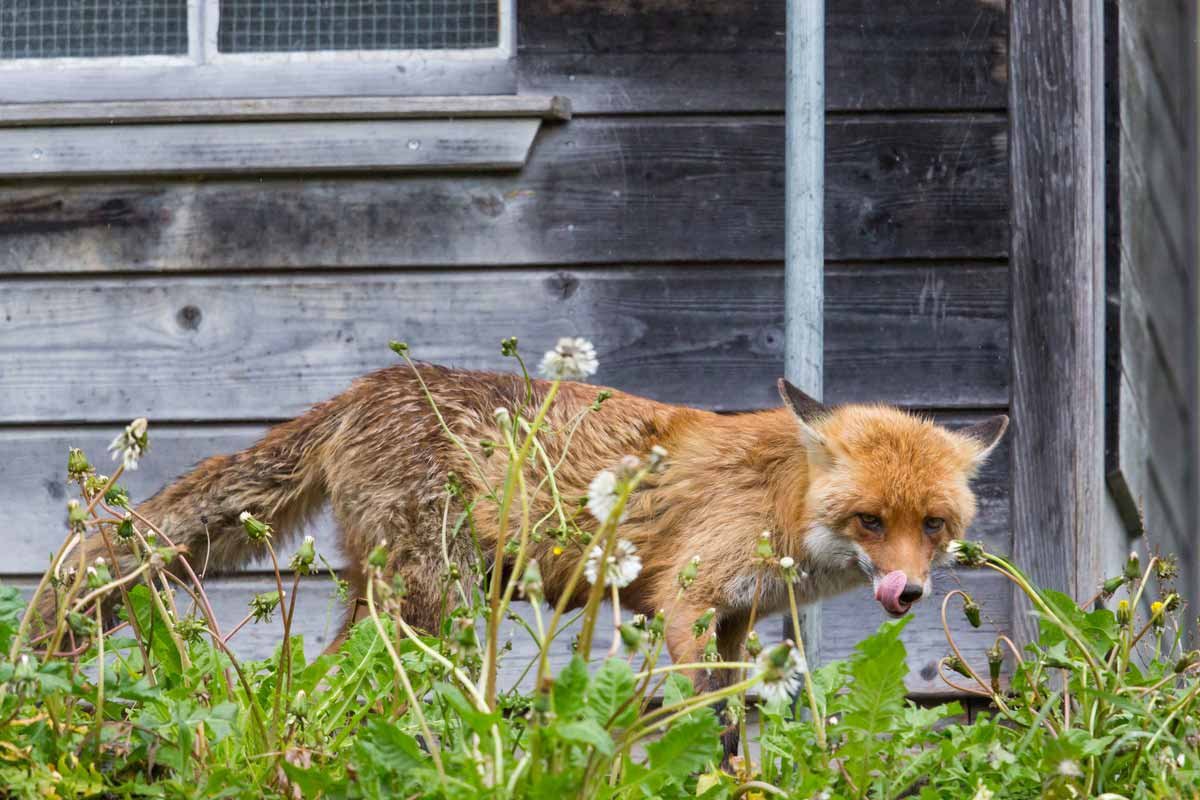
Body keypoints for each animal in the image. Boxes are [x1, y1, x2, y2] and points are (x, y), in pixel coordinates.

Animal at [63, 362, 1003, 695]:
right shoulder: (686, 604)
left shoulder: (738, 620)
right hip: (422, 602)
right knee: (337, 684)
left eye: (934, 525)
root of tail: (369, 385)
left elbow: (741, 722)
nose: (909, 592)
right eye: (869, 521)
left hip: (390, 597)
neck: (776, 502)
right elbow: (705, 716)